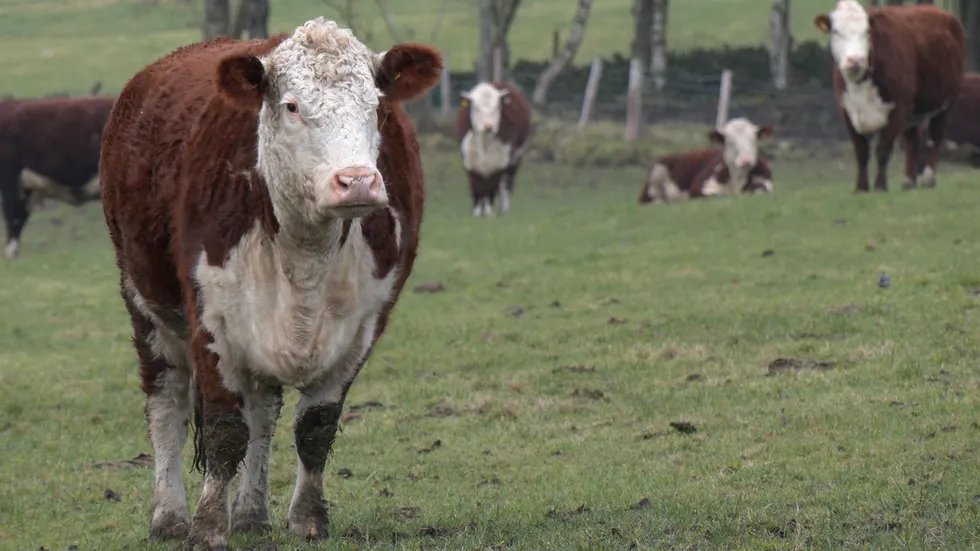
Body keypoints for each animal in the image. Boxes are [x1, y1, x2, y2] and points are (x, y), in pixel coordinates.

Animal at [99, 19, 442, 549]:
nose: (357, 181)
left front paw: (307, 519)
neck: (304, 251)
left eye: (374, 105)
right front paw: (208, 526)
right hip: (144, 303)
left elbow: (315, 428)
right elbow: (223, 431)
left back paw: (252, 514)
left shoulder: (363, 326)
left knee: (262, 411)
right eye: (292, 106)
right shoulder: (210, 320)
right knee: (166, 404)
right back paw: (170, 517)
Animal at [455, 81, 531, 217]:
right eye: (476, 107)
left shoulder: (500, 161)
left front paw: (489, 212)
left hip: (515, 158)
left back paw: (504, 209)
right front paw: (477, 212)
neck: (484, 142)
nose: (488, 126)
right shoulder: (469, 159)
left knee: (505, 184)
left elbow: (492, 185)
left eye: (497, 107)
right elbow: (477, 185)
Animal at [814, 1, 965, 192]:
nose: (855, 60)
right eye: (836, 31)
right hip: (913, 112)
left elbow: (883, 149)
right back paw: (908, 181)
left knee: (934, 137)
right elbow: (861, 151)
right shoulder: (847, 110)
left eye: (867, 32)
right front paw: (861, 187)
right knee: (912, 142)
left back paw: (928, 178)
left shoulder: (898, 108)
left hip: (946, 102)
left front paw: (880, 186)